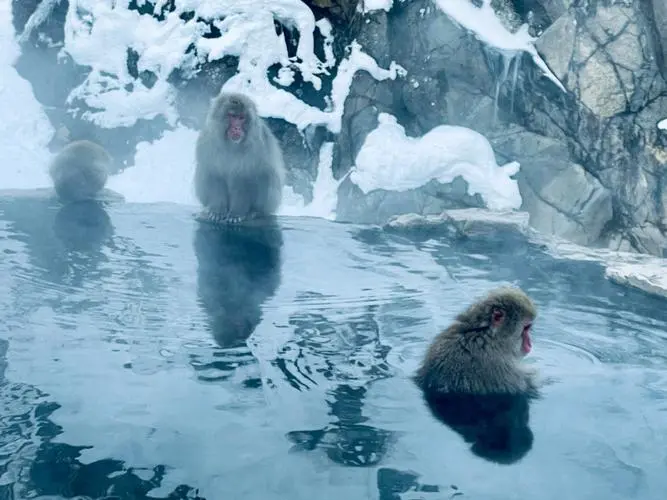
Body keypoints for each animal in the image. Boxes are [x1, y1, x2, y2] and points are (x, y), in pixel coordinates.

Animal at [194, 92, 286, 225]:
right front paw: (217, 211)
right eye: (233, 116)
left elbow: (245, 178)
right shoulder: (207, 141)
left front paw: (236, 213)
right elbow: (214, 174)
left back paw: (255, 211)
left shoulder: (257, 146)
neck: (231, 145)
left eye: (241, 118)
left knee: (267, 174)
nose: (237, 128)